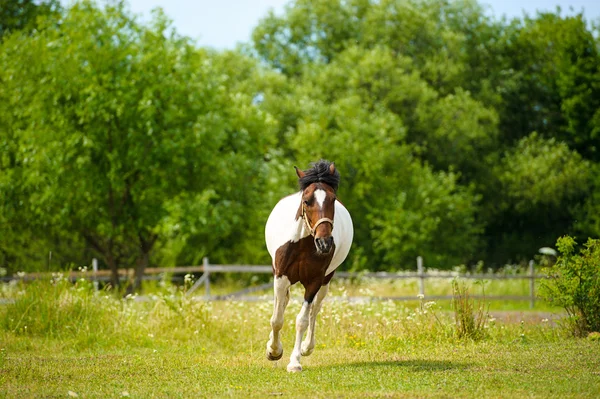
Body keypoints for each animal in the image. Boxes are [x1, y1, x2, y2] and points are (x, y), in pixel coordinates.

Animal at [264, 161, 354, 374]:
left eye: (333, 199)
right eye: (306, 201)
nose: (324, 243)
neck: (303, 244)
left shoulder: (314, 282)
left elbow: (302, 320)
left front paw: (295, 361)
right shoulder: (281, 277)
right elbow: (277, 318)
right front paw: (274, 351)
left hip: (326, 281)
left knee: (315, 310)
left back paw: (307, 347)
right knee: (281, 304)